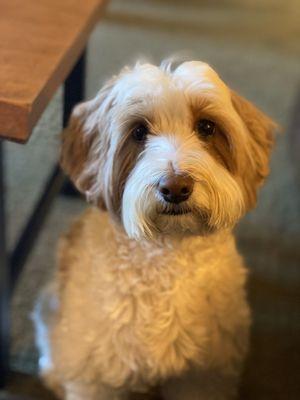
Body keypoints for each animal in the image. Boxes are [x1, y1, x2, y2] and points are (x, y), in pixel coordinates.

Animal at [32, 60, 274, 400]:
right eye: (139, 132)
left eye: (206, 127)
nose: (175, 187)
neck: (165, 255)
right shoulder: (96, 373)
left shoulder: (203, 374)